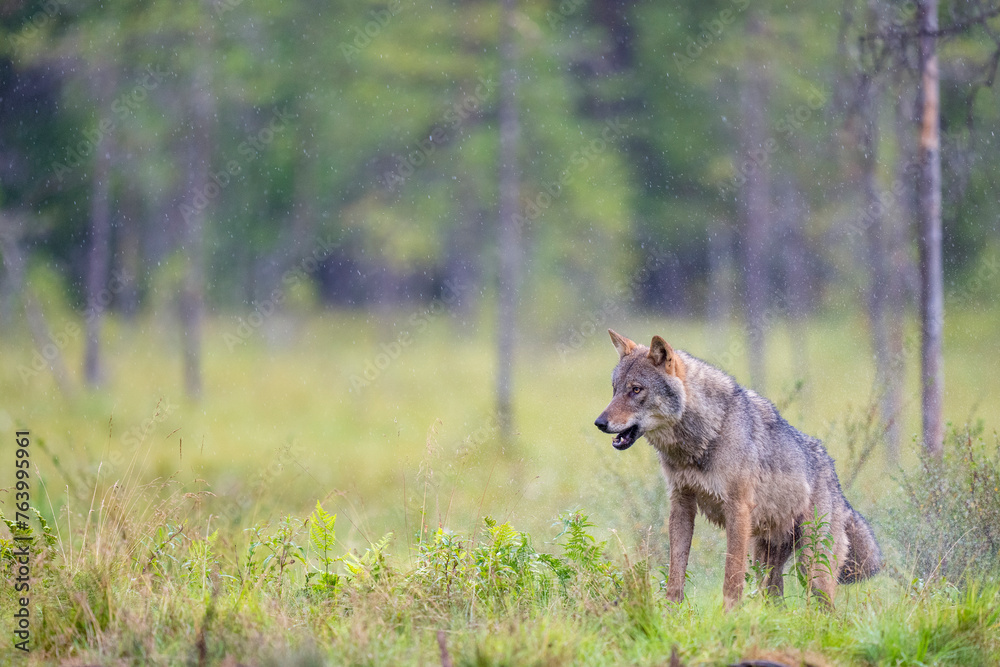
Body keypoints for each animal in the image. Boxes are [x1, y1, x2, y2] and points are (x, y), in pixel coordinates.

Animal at [594, 330, 881, 609]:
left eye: (636, 390)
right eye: (614, 390)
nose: (599, 422)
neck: (705, 436)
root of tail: (836, 480)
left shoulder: (738, 509)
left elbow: (731, 579)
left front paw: (729, 616)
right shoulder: (681, 504)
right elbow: (675, 574)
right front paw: (671, 614)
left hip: (811, 566)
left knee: (828, 610)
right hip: (765, 562)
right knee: (776, 601)